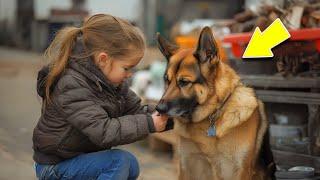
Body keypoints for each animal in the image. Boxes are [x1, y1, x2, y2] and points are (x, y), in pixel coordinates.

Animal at [155, 27, 276, 180]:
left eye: (184, 82)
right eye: (167, 80)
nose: (158, 109)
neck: (212, 115)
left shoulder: (240, 171)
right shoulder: (187, 167)